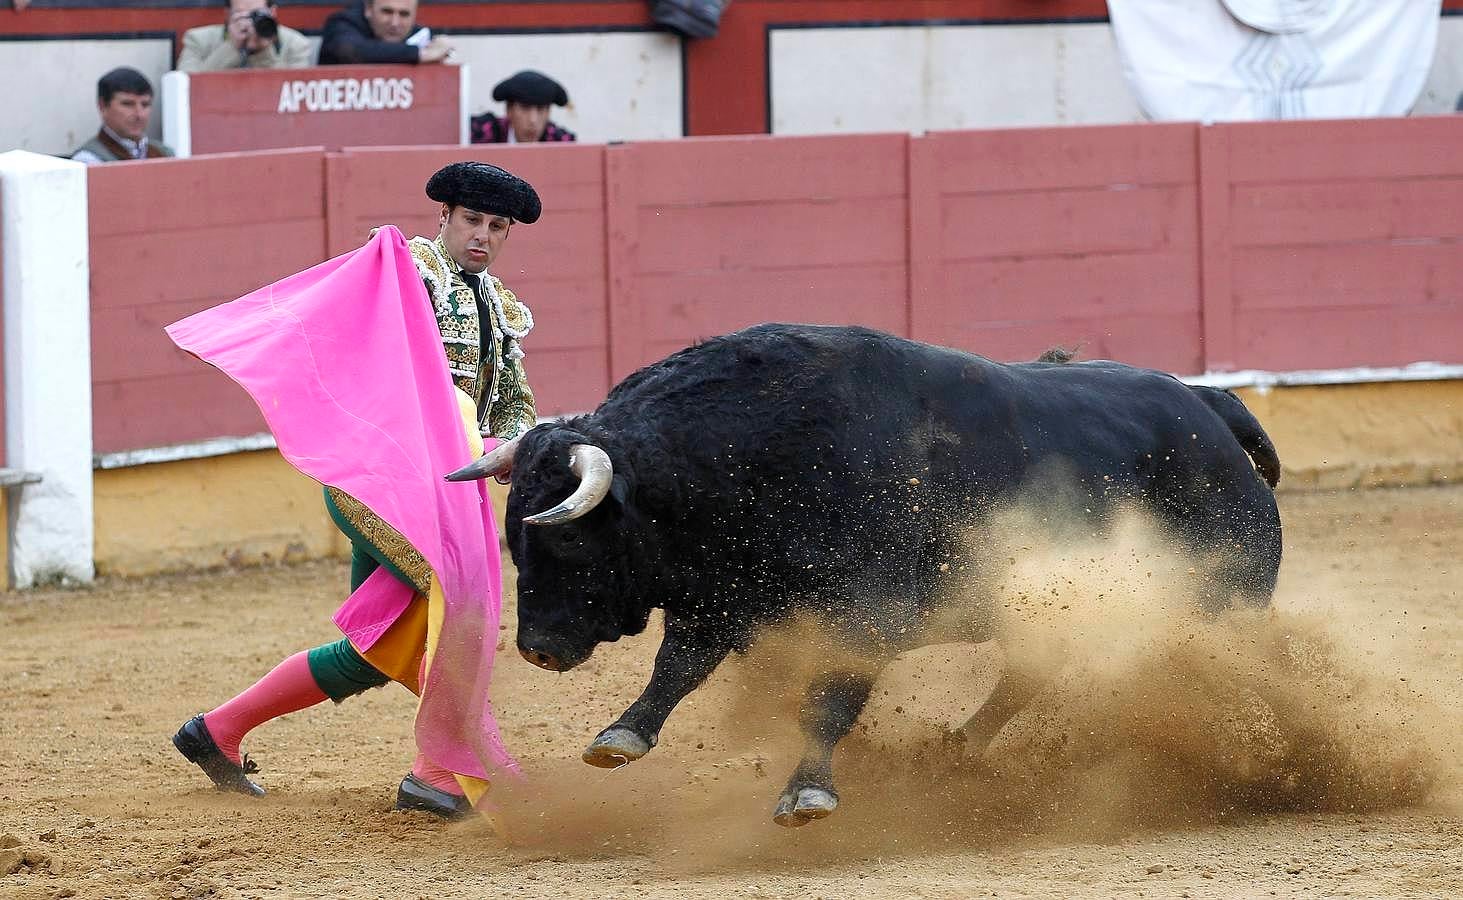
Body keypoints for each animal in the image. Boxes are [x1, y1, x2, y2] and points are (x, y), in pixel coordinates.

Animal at [444, 326, 1281, 831]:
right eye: (512, 539)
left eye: (570, 538)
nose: (538, 649)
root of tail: (1206, 406)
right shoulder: (721, 596)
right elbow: (675, 666)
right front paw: (620, 736)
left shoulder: (862, 617)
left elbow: (829, 701)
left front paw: (805, 793)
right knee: (1027, 675)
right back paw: (957, 746)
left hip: (1220, 603)